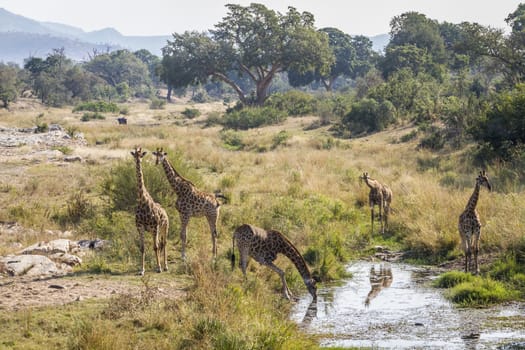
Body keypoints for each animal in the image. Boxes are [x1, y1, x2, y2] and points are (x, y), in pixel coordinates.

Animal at [130, 146, 169, 274]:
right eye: (134, 155)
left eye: (141, 155)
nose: (138, 161)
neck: (142, 202)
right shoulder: (140, 227)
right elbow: (142, 248)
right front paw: (141, 270)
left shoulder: (154, 227)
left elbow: (155, 247)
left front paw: (159, 268)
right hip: (158, 229)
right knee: (161, 243)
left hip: (164, 227)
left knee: (164, 243)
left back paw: (165, 266)